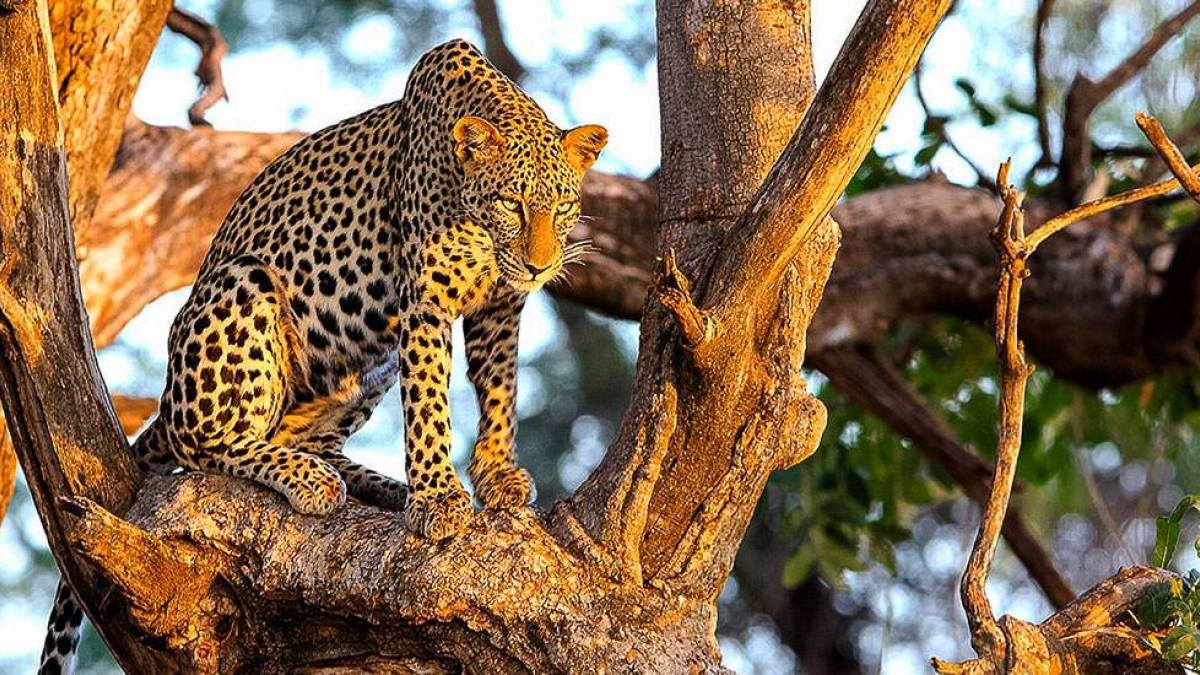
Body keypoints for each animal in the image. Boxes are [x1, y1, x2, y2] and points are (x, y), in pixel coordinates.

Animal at [37, 38, 606, 675]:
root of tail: (165, 399)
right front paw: (438, 496)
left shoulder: (501, 306)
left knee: (307, 440)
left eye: (563, 207)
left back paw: (376, 485)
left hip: (365, 364)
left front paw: (494, 473)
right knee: (204, 443)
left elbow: (500, 388)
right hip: (243, 286)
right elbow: (429, 404)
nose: (540, 265)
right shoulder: (425, 303)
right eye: (511, 203)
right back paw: (313, 480)